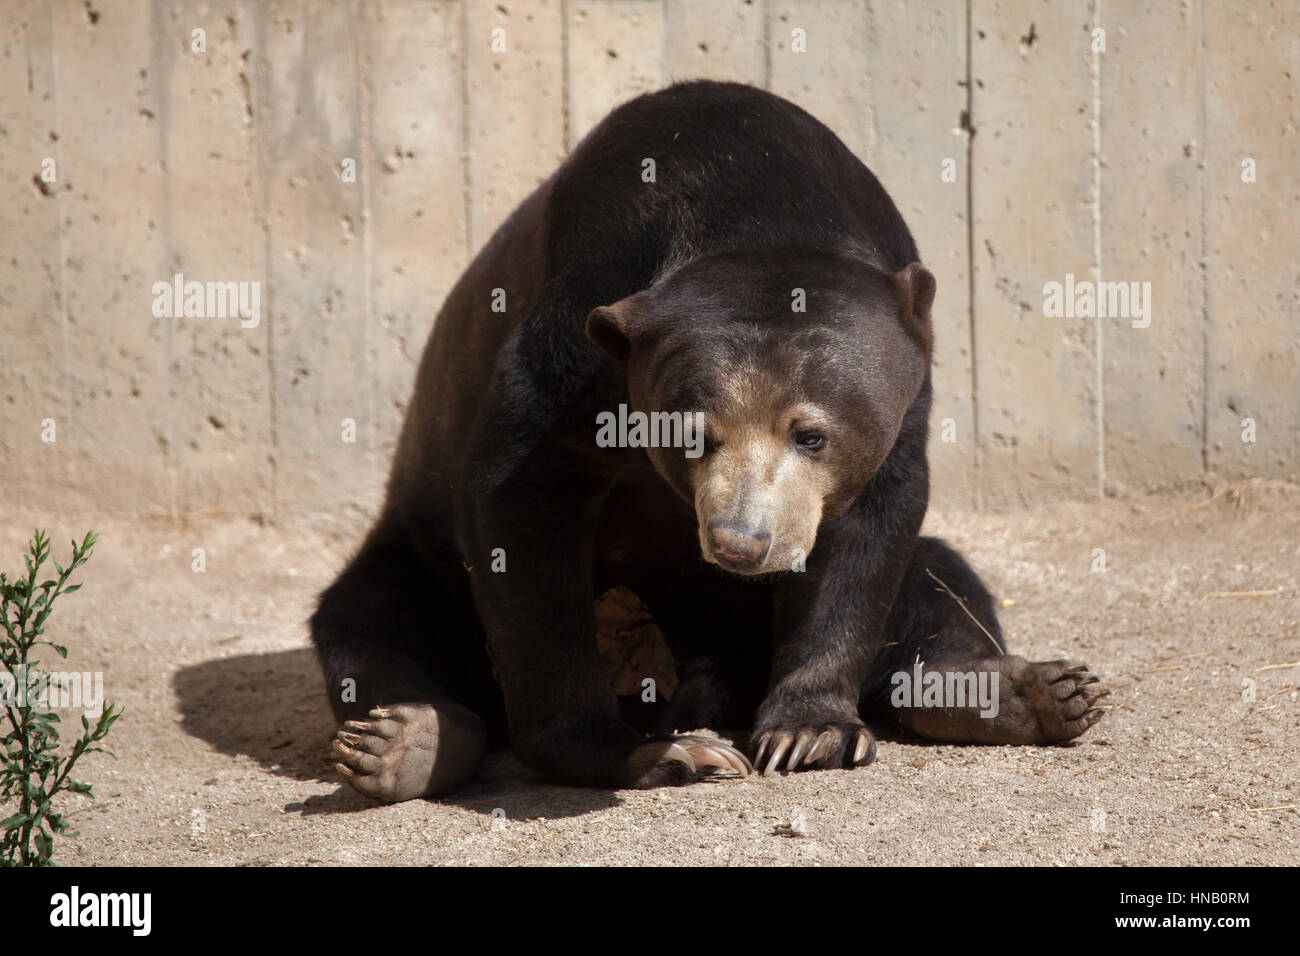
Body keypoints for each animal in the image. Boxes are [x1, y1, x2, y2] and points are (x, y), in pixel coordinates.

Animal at [306, 80, 1107, 801]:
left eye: (811, 435)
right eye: (692, 435)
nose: (741, 546)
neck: (752, 192)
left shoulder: (905, 395)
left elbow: (873, 530)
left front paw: (808, 733)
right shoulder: (576, 340)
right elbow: (521, 498)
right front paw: (648, 754)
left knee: (939, 577)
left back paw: (1029, 692)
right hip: (421, 555)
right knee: (376, 625)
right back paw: (407, 740)